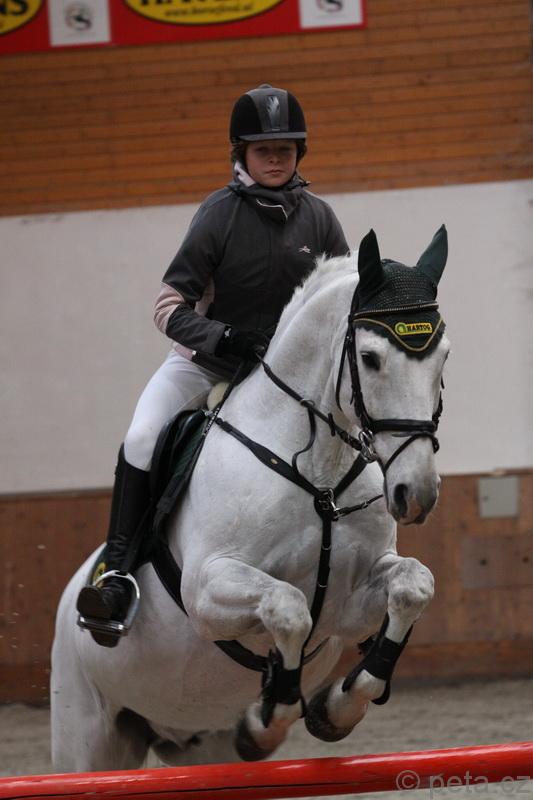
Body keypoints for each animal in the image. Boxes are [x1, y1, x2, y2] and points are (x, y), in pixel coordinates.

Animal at [51, 226, 450, 772]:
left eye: (443, 356)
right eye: (370, 358)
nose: (417, 494)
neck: (318, 473)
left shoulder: (348, 605)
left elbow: (414, 585)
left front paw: (337, 707)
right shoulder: (207, 589)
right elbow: (290, 606)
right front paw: (272, 714)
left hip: (202, 744)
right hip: (88, 740)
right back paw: (107, 597)